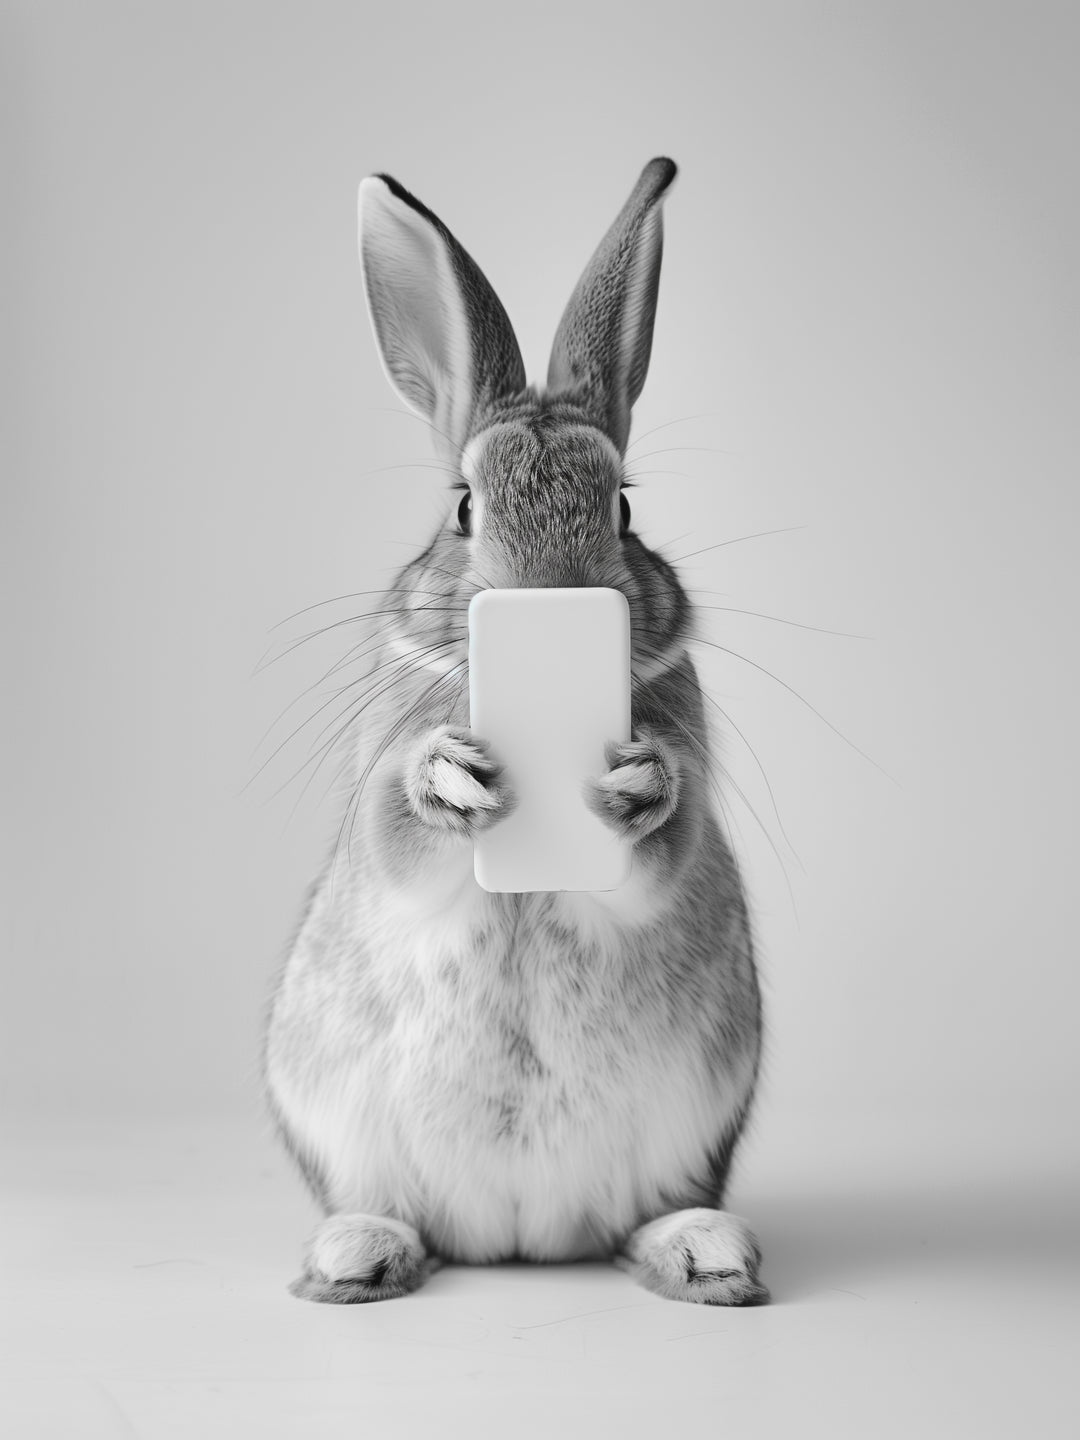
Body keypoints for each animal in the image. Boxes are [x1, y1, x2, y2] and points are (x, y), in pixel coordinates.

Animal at [263, 157, 767, 1306]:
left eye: (622, 506)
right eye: (463, 506)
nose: (550, 594)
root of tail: (521, 1243)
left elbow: (662, 851)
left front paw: (638, 784)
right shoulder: (381, 791)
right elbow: (397, 838)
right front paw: (449, 778)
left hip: (693, 1125)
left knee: (641, 1220)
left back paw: (702, 1252)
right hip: (339, 1123)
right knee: (395, 1214)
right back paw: (357, 1256)